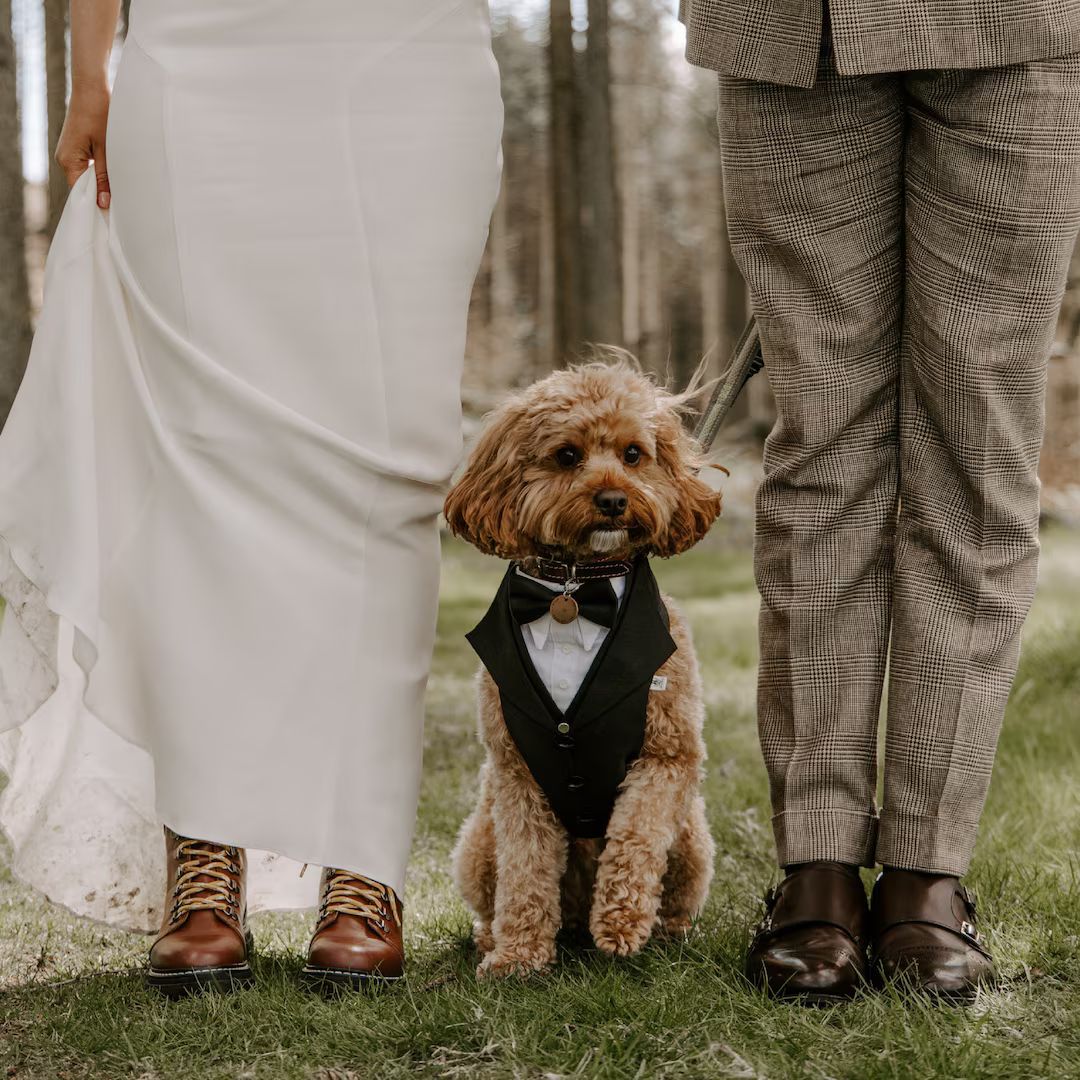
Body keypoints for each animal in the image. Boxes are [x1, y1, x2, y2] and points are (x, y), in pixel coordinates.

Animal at [438, 354, 725, 980]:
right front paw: (518, 956)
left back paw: (665, 932)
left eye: (634, 454)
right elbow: (525, 871)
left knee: (676, 893)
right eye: (568, 455)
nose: (614, 500)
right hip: (479, 838)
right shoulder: (516, 774)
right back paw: (492, 937)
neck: (575, 589)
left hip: (693, 836)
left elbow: (635, 836)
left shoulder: (667, 756)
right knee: (498, 892)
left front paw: (621, 922)